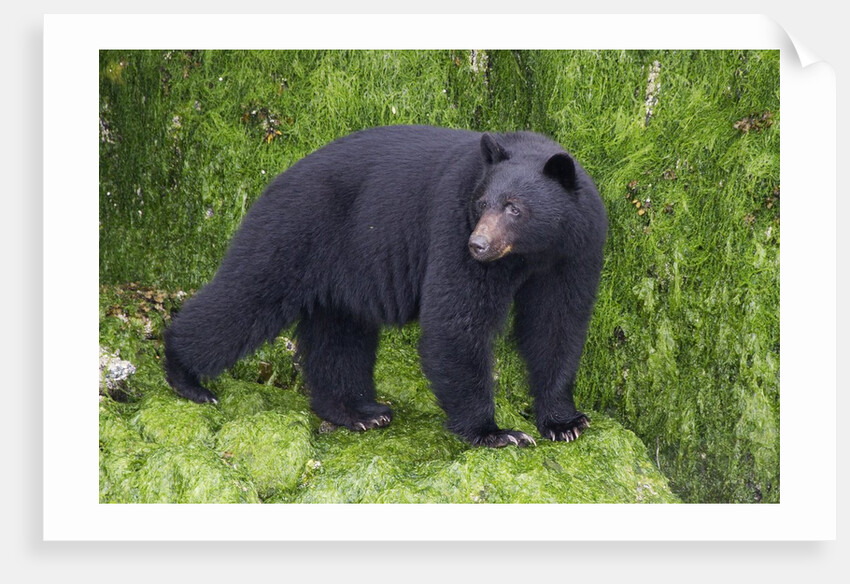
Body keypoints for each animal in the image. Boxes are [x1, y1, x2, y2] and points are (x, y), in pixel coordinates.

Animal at [164, 125, 607, 448]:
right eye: (482, 203)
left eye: (514, 208)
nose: (478, 245)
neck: (531, 252)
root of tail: (276, 179)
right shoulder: (452, 226)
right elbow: (457, 320)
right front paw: (496, 432)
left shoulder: (575, 251)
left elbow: (557, 322)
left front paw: (565, 421)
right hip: (291, 233)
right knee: (244, 300)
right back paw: (185, 375)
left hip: (339, 271)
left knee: (339, 338)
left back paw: (358, 412)